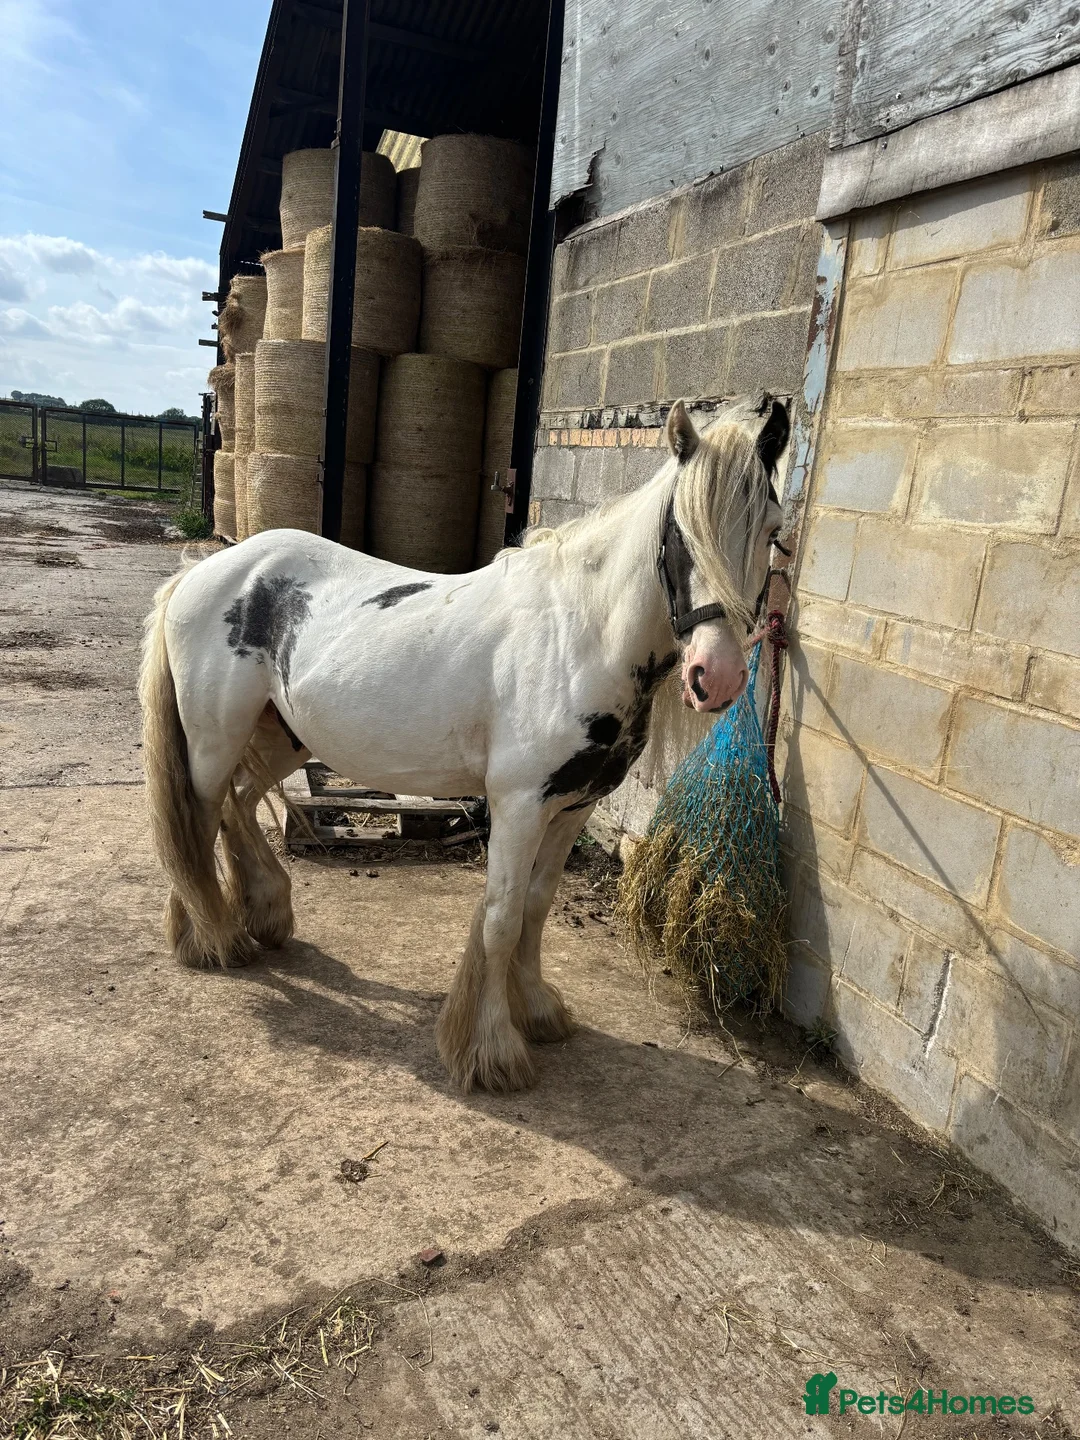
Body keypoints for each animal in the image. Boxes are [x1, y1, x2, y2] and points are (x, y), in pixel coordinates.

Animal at [139, 395, 789, 1093]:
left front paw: (538, 1011)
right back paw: (212, 938)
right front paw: (492, 1050)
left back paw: (262, 916)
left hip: (283, 736)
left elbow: (535, 908)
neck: (579, 633)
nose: (716, 677)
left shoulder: (575, 806)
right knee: (200, 820)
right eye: (678, 534)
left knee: (236, 803)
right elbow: (502, 919)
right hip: (213, 740)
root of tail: (205, 572)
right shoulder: (521, 805)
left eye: (774, 530)